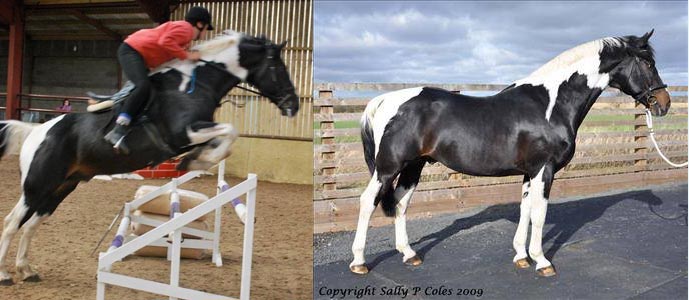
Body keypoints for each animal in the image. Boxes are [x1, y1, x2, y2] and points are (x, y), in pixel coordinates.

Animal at [0, 30, 298, 284]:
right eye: (278, 68)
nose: (293, 105)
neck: (196, 84)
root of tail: (35, 131)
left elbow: (225, 138)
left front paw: (196, 159)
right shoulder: (183, 132)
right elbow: (230, 131)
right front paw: (195, 160)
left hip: (62, 187)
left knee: (31, 225)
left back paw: (26, 270)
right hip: (38, 185)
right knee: (13, 222)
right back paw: (5, 275)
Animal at [350, 30, 668, 276]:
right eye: (648, 62)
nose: (663, 103)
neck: (550, 104)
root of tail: (384, 100)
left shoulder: (530, 172)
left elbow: (525, 209)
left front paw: (521, 256)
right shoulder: (544, 169)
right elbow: (539, 213)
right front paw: (542, 261)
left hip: (413, 166)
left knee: (400, 203)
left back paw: (409, 254)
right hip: (388, 168)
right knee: (367, 202)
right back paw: (359, 262)